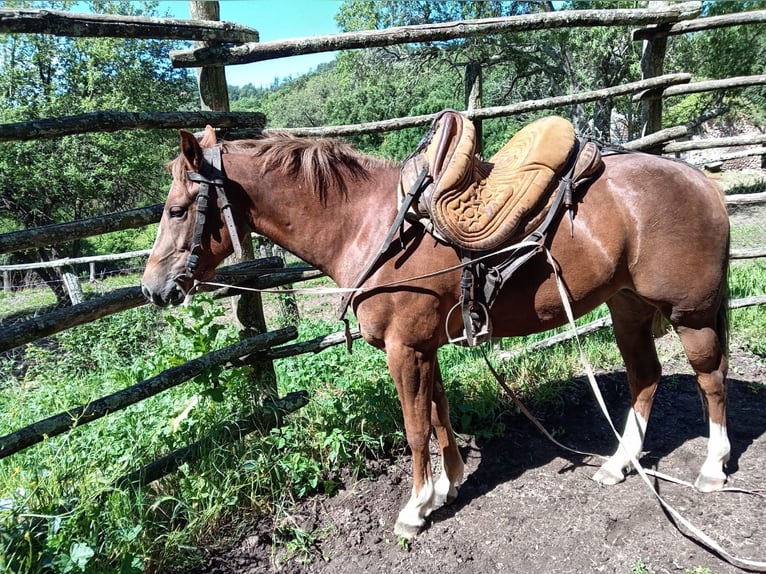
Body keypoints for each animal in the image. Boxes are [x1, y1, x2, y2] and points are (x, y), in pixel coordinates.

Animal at [141, 124, 730, 540]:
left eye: (177, 209)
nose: (152, 288)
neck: (372, 226)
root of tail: (701, 179)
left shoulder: (403, 350)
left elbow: (414, 427)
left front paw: (414, 508)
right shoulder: (426, 346)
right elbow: (440, 415)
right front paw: (447, 487)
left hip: (691, 315)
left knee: (711, 381)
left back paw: (712, 470)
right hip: (628, 308)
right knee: (645, 377)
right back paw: (619, 464)